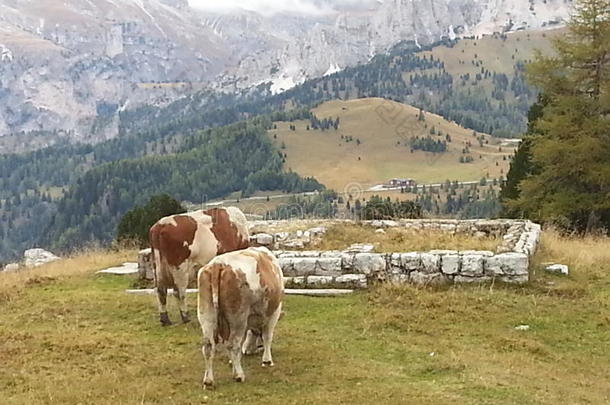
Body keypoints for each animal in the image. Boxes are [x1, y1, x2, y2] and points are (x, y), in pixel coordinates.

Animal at [197, 246, 284, 388]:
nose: (250, 350)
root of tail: (218, 263)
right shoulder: (273, 313)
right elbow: (267, 336)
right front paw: (267, 360)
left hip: (206, 315)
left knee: (209, 346)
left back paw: (209, 381)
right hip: (238, 318)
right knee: (233, 344)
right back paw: (239, 375)